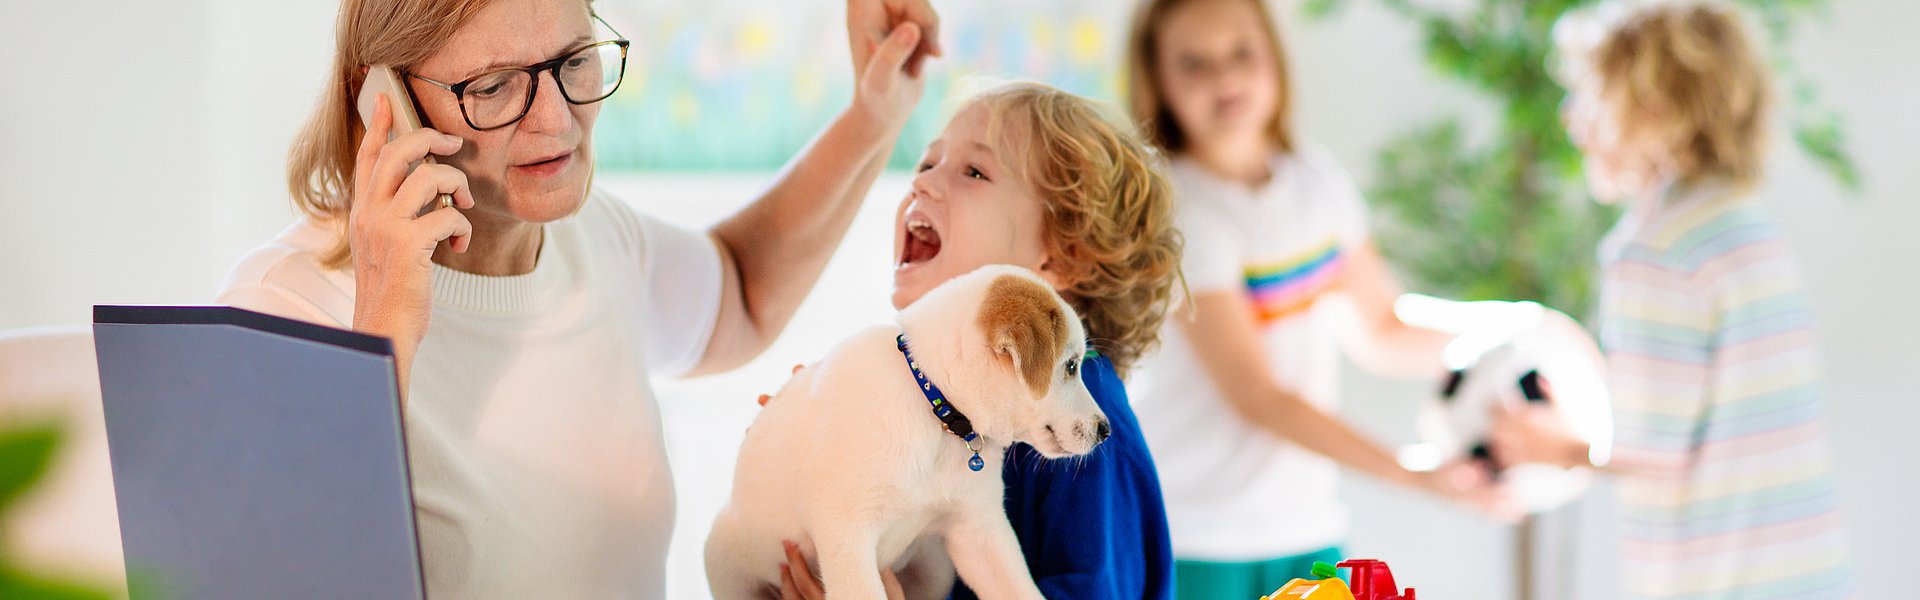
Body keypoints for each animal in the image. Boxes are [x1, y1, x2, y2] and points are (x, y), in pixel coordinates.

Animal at [706, 265, 1113, 600]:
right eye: (1071, 366)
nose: (1106, 431)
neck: (936, 413)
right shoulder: (847, 541)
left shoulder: (982, 535)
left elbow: (1021, 591)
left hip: (935, 570)